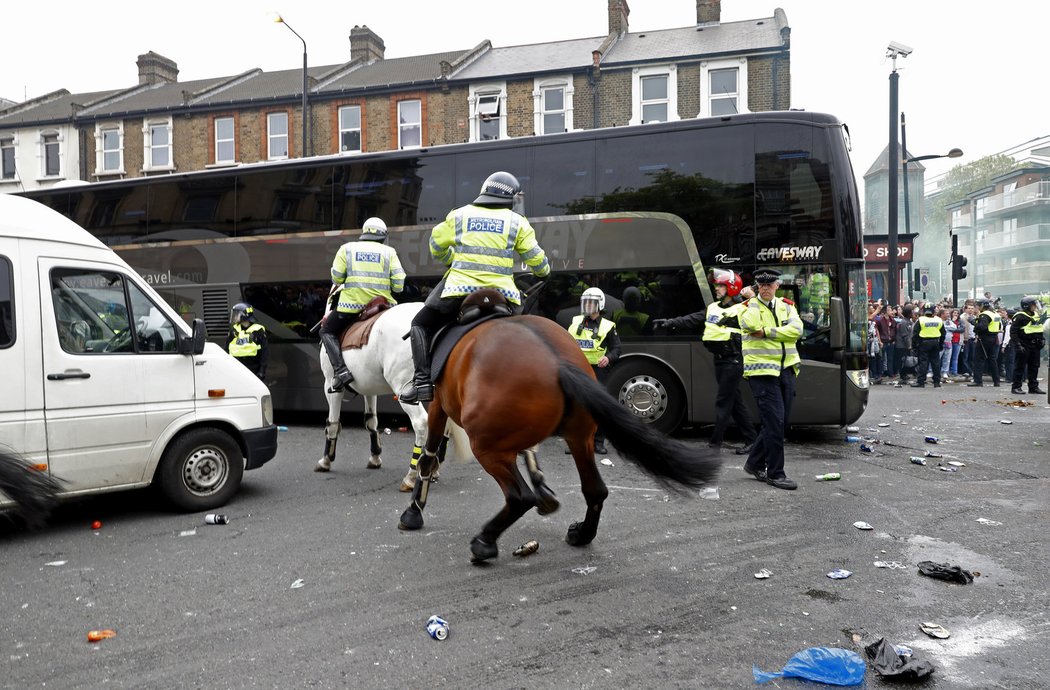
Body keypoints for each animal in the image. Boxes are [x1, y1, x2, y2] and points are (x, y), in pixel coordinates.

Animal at [312, 302, 440, 489]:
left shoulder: (330, 385)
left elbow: (333, 423)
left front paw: (326, 460)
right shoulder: (369, 388)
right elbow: (371, 421)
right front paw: (375, 457)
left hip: (404, 386)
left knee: (421, 422)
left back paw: (412, 475)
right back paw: (432, 468)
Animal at [394, 304, 722, 562]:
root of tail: (557, 363)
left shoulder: (438, 403)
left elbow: (428, 456)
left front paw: (413, 511)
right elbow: (530, 453)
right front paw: (545, 491)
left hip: (486, 446)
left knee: (518, 497)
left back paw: (485, 542)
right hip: (578, 437)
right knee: (595, 490)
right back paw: (581, 533)